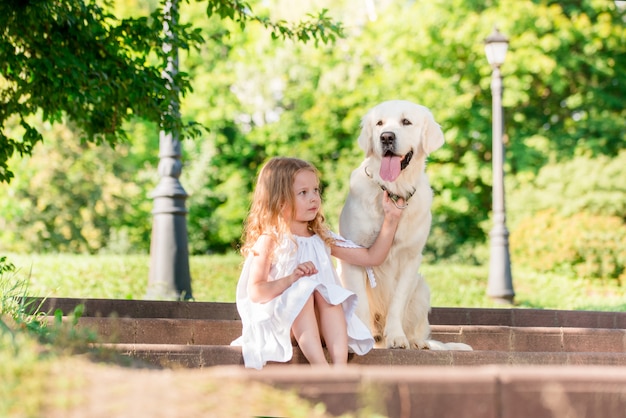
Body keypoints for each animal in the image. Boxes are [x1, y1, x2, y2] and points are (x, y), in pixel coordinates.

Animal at [336, 99, 468, 352]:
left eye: (406, 121)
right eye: (379, 123)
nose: (386, 137)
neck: (393, 190)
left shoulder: (410, 258)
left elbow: (398, 302)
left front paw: (397, 338)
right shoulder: (353, 255)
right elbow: (361, 303)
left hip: (422, 288)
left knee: (418, 329)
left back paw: (418, 343)